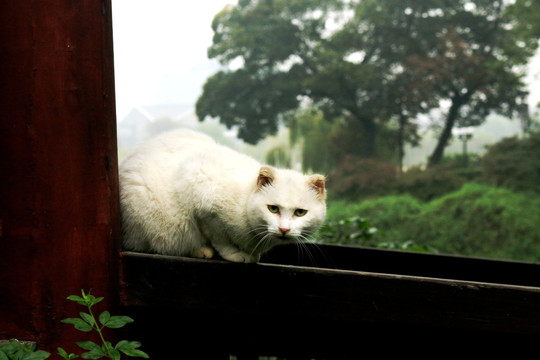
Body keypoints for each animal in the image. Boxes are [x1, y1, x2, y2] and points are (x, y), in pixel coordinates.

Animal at [119, 129, 326, 262]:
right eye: (273, 208)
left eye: (300, 212)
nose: (284, 229)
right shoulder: (201, 196)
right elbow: (220, 239)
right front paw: (235, 255)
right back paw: (201, 251)